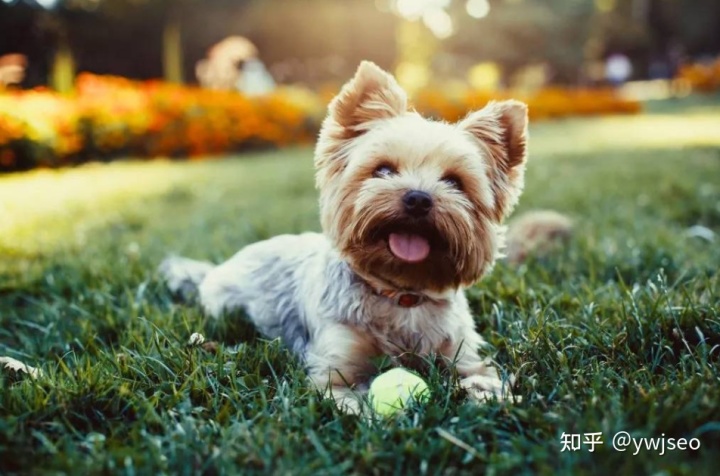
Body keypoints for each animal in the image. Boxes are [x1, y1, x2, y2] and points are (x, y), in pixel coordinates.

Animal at [158, 62, 528, 412]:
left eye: (454, 182)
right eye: (383, 170)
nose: (418, 199)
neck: (401, 294)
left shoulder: (463, 354)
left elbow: (482, 378)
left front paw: (491, 397)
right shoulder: (336, 368)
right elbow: (353, 401)